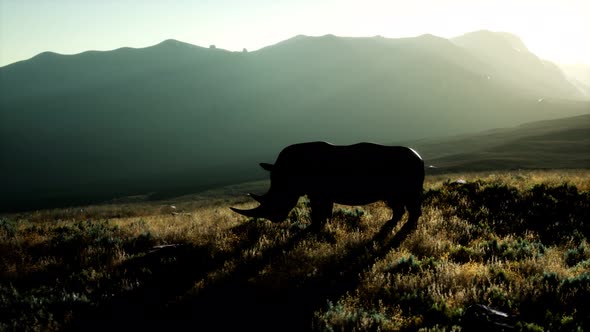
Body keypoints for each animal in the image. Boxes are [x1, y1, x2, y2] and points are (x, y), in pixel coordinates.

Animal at [231, 142, 426, 231]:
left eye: (279, 197)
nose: (275, 219)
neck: (287, 174)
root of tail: (420, 158)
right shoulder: (322, 193)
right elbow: (325, 211)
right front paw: (324, 226)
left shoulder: (317, 193)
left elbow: (317, 211)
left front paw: (313, 228)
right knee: (396, 201)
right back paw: (390, 225)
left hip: (409, 171)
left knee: (409, 200)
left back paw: (408, 229)